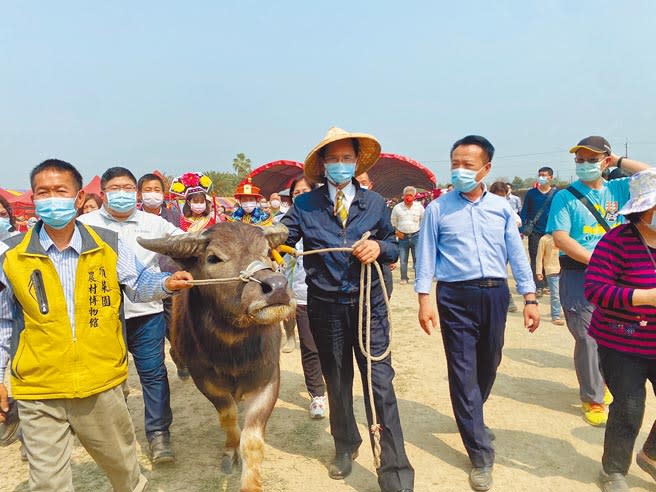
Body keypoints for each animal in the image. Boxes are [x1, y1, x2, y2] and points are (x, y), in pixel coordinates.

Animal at [140, 222, 296, 492]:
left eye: (267, 251)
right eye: (213, 258)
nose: (277, 287)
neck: (233, 351)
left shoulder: (268, 379)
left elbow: (252, 440)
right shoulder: (206, 381)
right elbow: (228, 417)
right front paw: (230, 451)